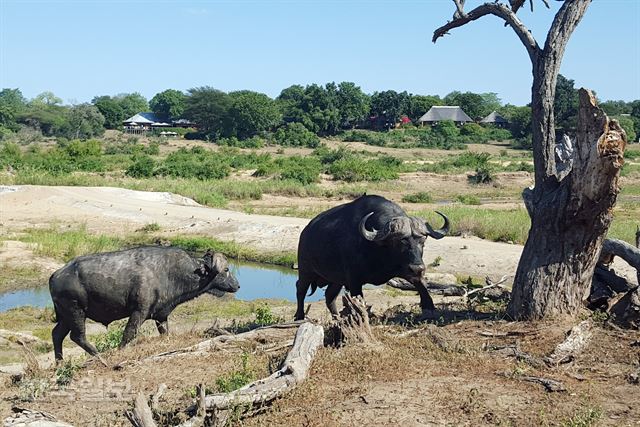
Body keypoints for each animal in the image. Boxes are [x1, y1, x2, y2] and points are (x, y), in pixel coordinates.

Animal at [47, 247, 238, 362]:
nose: (237, 285)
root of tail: (56, 274)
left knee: (57, 335)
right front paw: (120, 351)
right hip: (76, 312)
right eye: (226, 269)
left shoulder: (161, 316)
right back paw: (100, 357)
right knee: (77, 336)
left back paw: (59, 362)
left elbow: (164, 333)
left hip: (66, 317)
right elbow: (129, 334)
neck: (170, 272)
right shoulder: (139, 312)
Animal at [294, 195, 448, 320]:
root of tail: (306, 231)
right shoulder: (354, 280)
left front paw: (429, 307)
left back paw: (337, 317)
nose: (418, 267)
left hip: (336, 280)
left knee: (329, 296)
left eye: (423, 241)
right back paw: (299, 316)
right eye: (400, 242)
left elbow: (422, 285)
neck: (378, 249)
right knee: (300, 289)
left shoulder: (406, 269)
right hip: (306, 270)